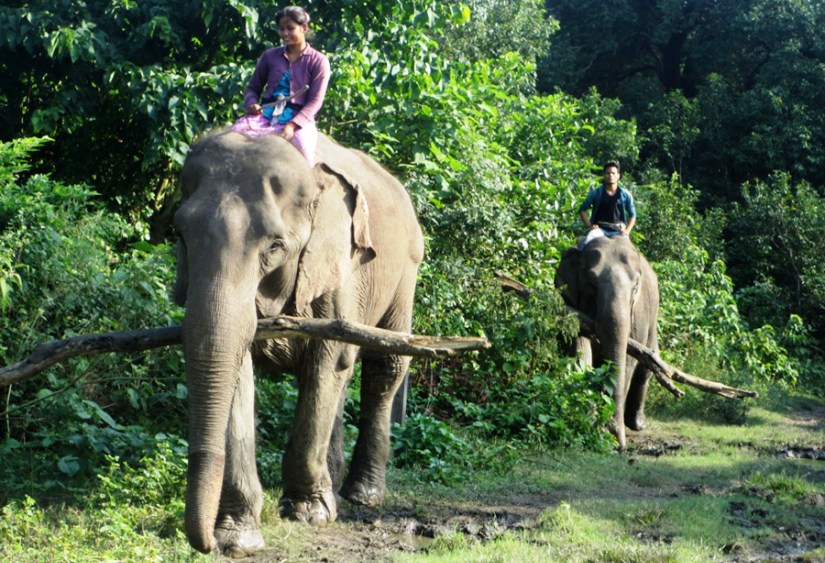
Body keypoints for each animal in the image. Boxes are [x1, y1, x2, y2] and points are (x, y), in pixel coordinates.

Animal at [172, 130, 418, 556]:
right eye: (180, 234)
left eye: (275, 247)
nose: (205, 545)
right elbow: (237, 367)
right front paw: (238, 539)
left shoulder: (338, 266)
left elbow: (330, 357)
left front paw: (307, 513)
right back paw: (332, 481)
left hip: (407, 272)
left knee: (382, 366)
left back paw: (361, 495)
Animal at [552, 236, 660, 452]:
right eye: (591, 284)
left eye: (636, 286)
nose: (617, 442)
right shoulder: (571, 303)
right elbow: (580, 351)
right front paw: (591, 422)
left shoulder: (639, 317)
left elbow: (628, 362)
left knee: (647, 366)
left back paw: (637, 424)